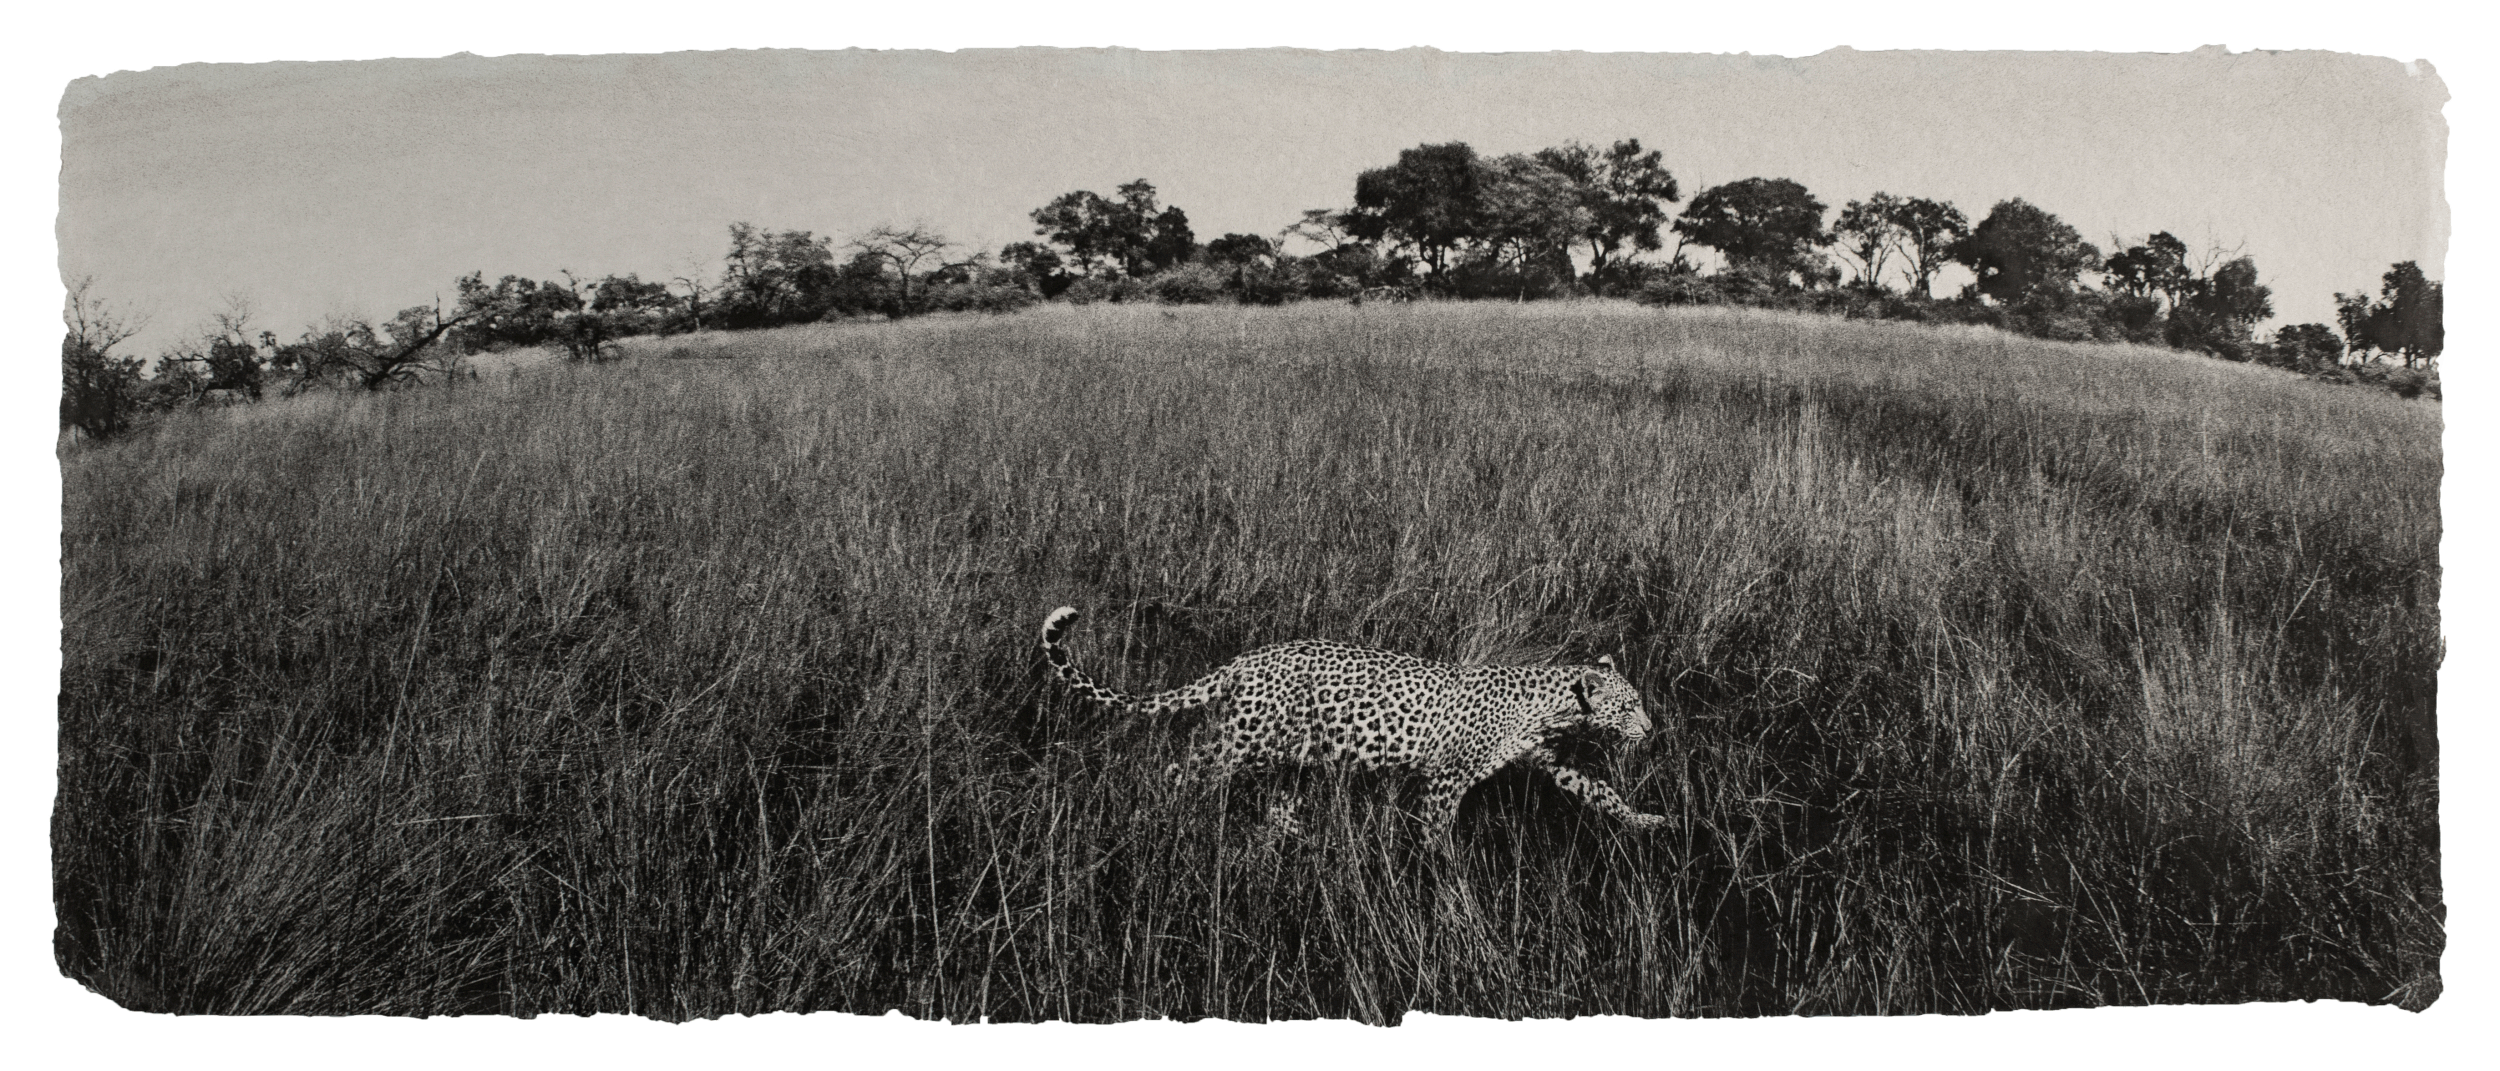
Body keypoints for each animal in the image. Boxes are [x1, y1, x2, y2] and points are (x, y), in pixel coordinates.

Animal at [1035, 605, 1660, 840]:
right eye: (1629, 705)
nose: (1650, 729)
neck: (1549, 710)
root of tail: (1245, 659)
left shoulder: (1547, 760)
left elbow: (1599, 789)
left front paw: (1647, 820)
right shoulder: (1445, 779)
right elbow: (1437, 830)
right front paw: (1445, 879)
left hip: (1289, 757)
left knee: (1275, 807)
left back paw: (1293, 843)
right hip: (1243, 743)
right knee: (1181, 770)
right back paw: (1154, 820)